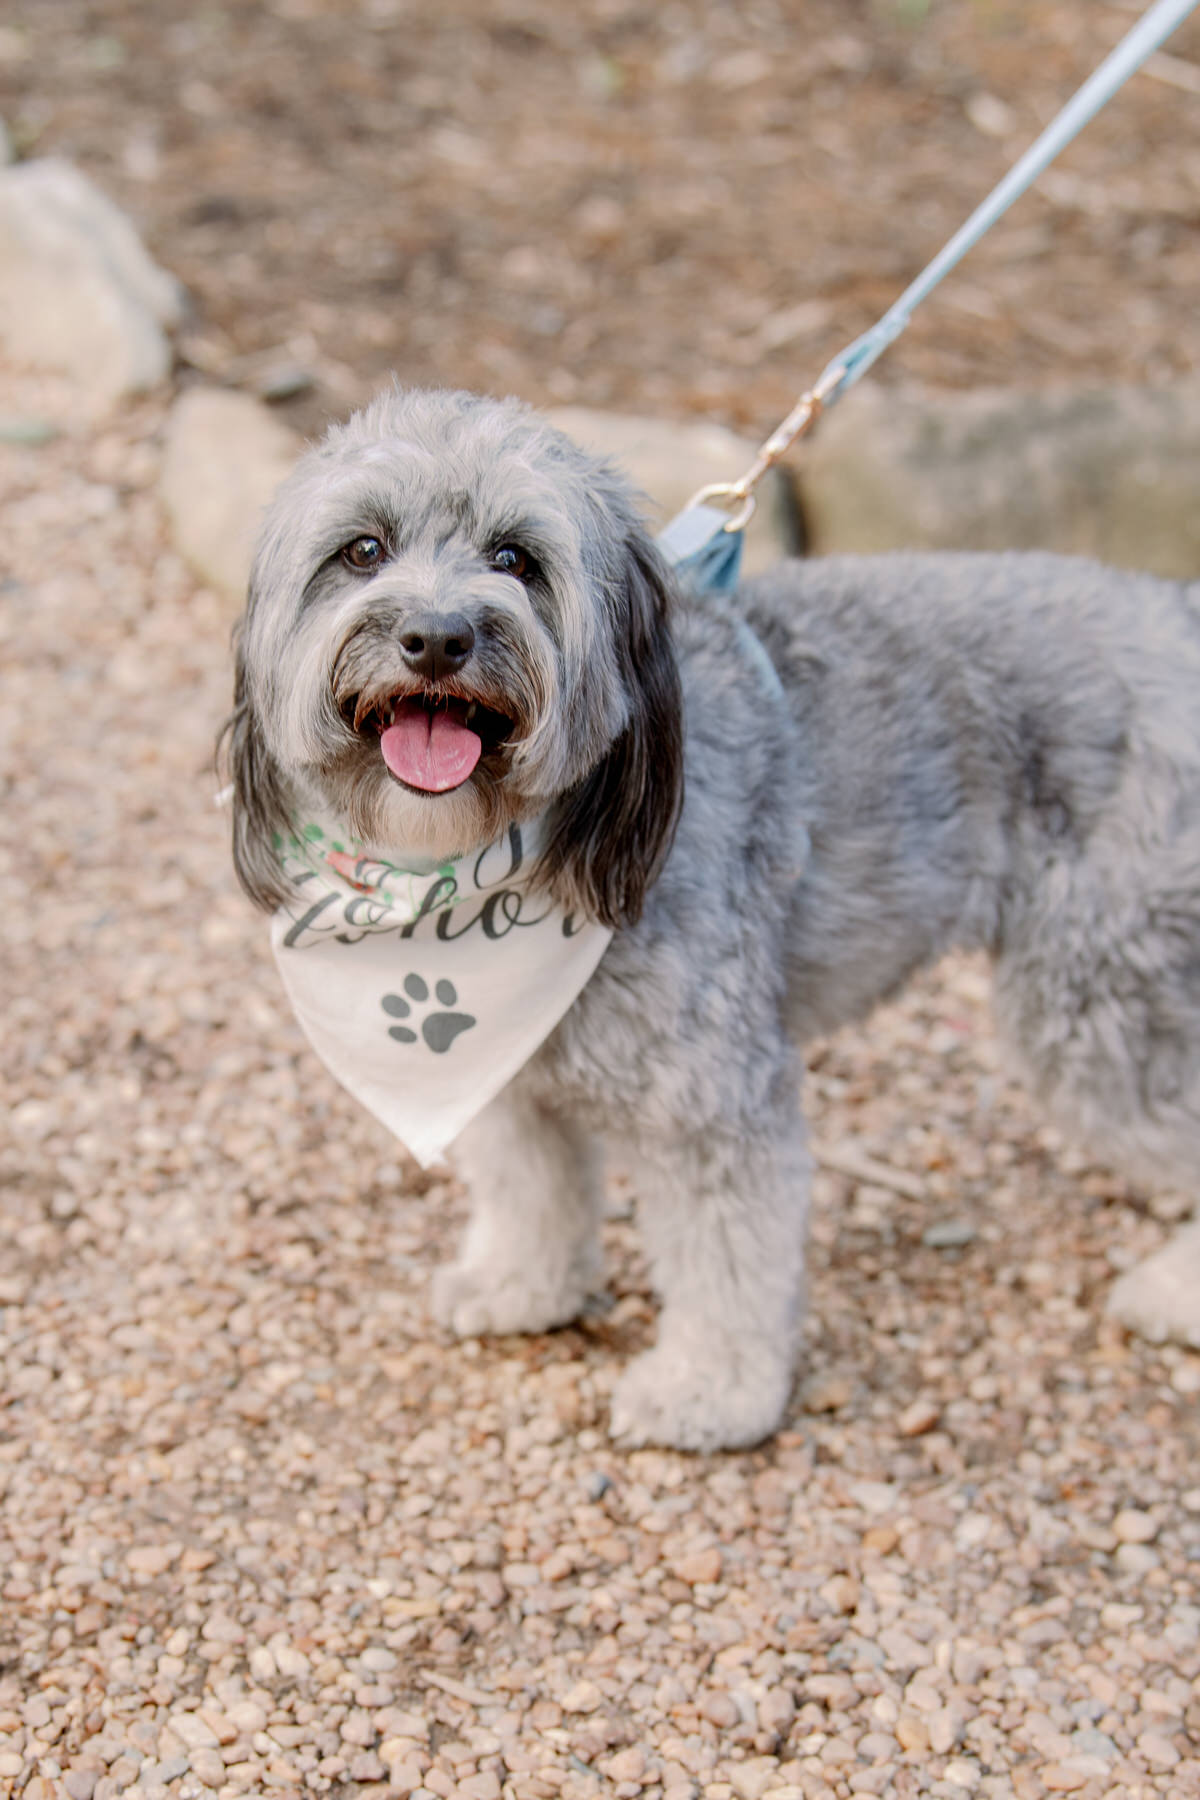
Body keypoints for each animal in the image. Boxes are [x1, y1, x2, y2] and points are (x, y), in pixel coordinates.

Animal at [230, 387, 1200, 1454]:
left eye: (515, 558)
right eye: (363, 551)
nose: (437, 637)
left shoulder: (714, 1100)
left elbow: (727, 1257)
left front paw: (710, 1392)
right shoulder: (505, 1077)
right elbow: (533, 1190)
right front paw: (523, 1287)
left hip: (1105, 999)